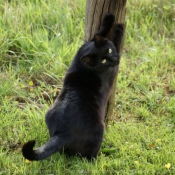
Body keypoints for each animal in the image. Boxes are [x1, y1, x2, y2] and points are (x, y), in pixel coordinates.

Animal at [21, 14, 124, 161]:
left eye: (109, 50)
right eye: (103, 61)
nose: (115, 58)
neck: (83, 66)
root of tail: (62, 133)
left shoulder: (86, 45)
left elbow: (99, 32)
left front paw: (109, 19)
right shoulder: (113, 71)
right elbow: (117, 42)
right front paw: (120, 28)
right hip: (99, 131)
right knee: (89, 156)